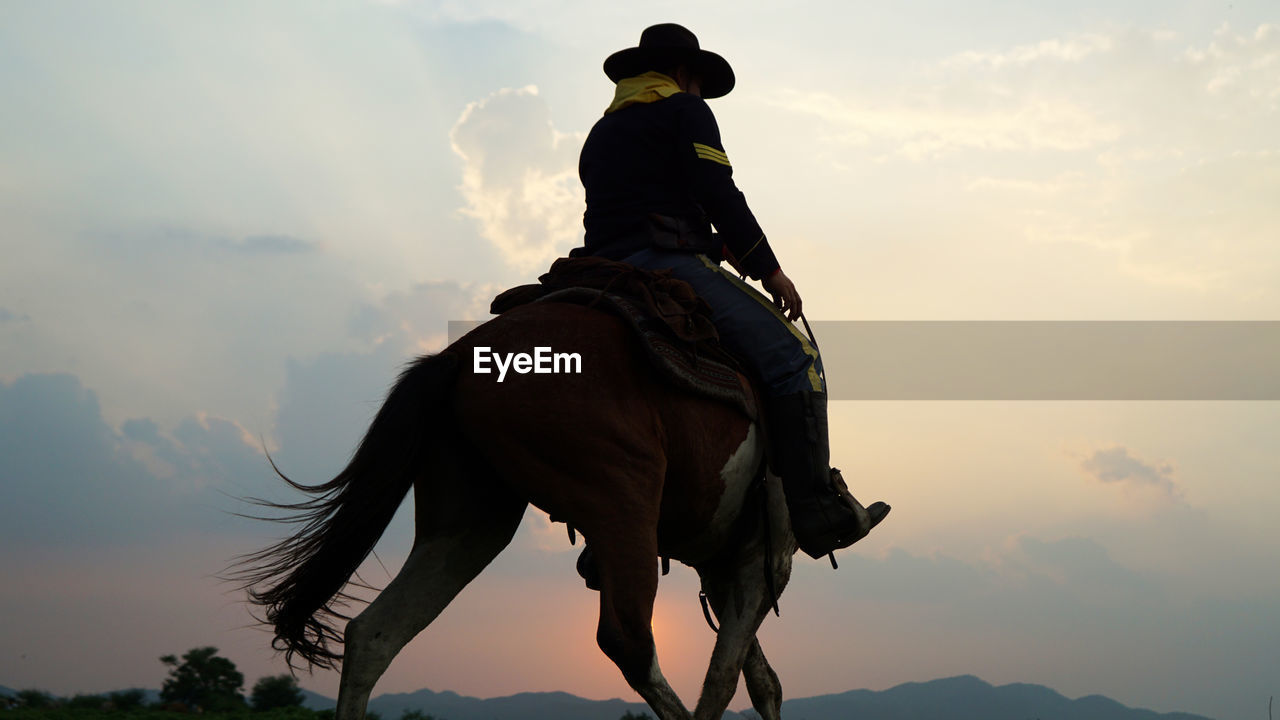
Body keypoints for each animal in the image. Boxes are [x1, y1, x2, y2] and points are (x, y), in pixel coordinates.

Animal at [231, 298, 803, 717]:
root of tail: (458, 356)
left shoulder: (722, 563)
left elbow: (759, 679)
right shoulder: (762, 557)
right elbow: (726, 676)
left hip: (469, 523)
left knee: (374, 634)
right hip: (624, 504)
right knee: (629, 642)